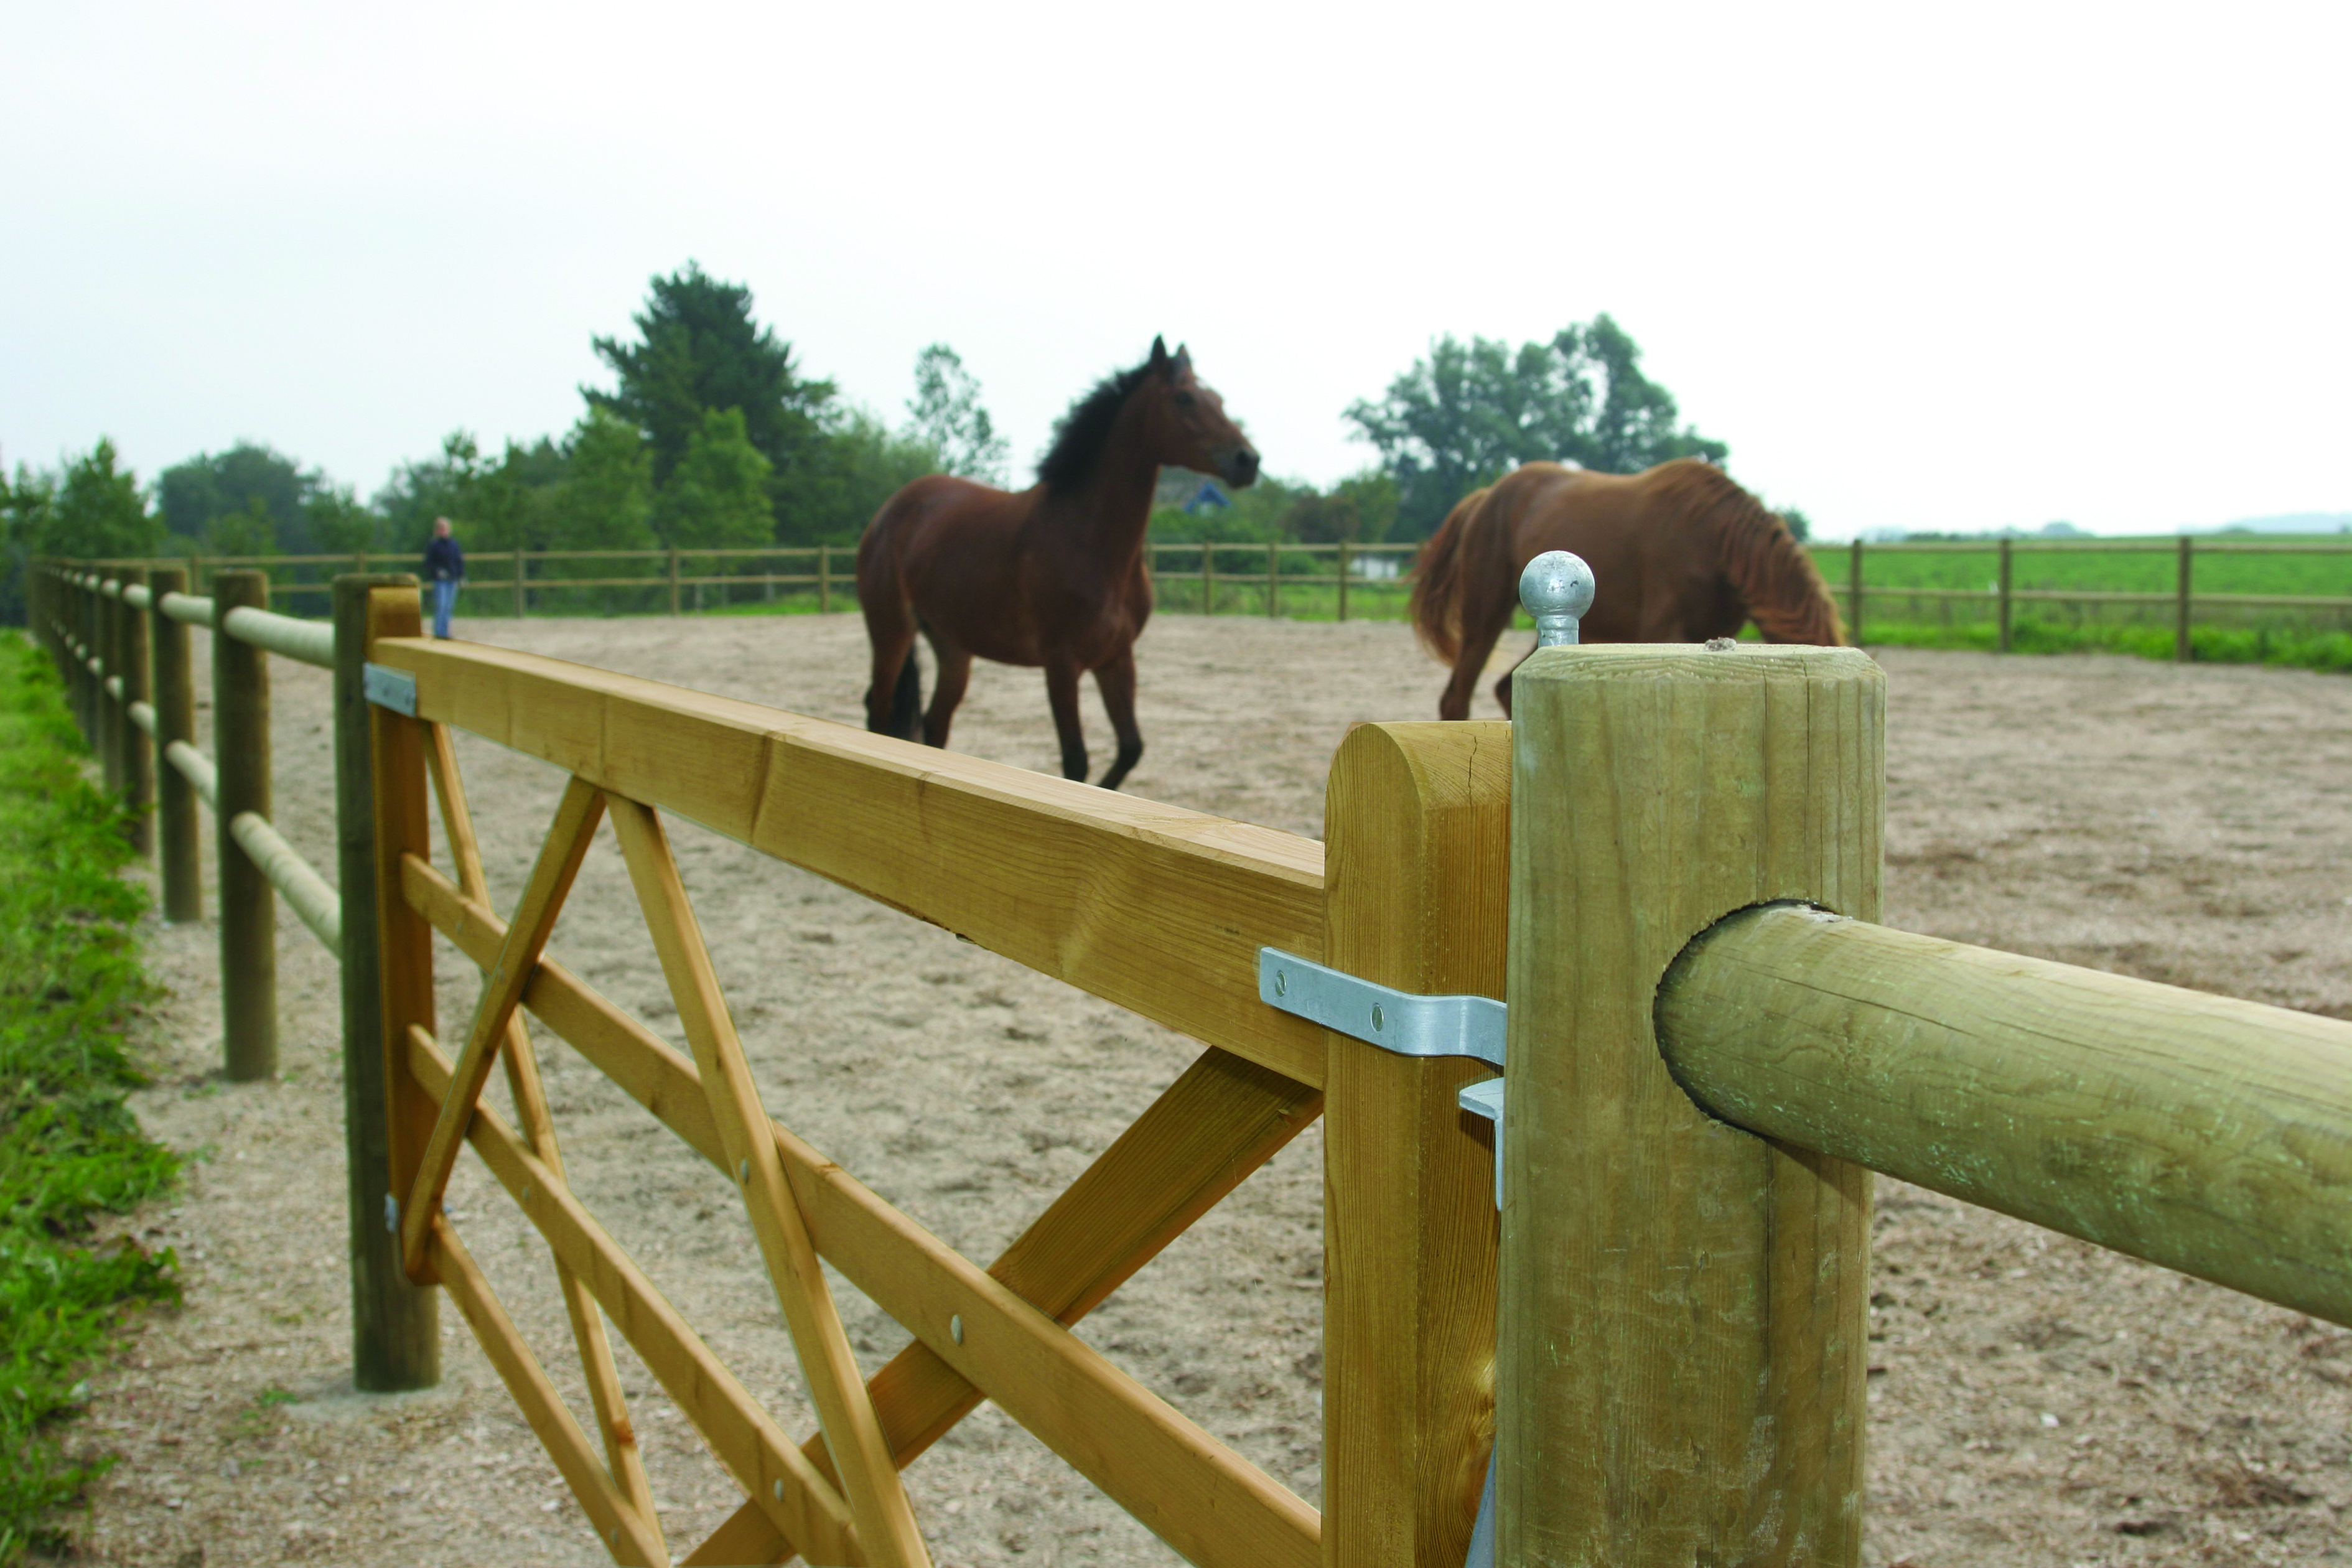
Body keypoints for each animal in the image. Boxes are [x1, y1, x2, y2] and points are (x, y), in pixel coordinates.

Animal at [861, 338, 1261, 790]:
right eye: (1185, 398)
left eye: (1219, 400)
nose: (1248, 461)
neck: (1092, 542)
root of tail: (891, 512)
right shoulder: (1061, 666)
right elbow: (1076, 762)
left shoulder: (1117, 659)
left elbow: (1130, 748)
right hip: (891, 633)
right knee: (878, 713)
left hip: (953, 649)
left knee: (934, 725)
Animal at [1401, 455, 1844, 719]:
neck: (1715, 541)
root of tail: (1484, 497)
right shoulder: (1662, 632)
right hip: (1485, 613)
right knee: (1456, 698)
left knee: (1505, 689)